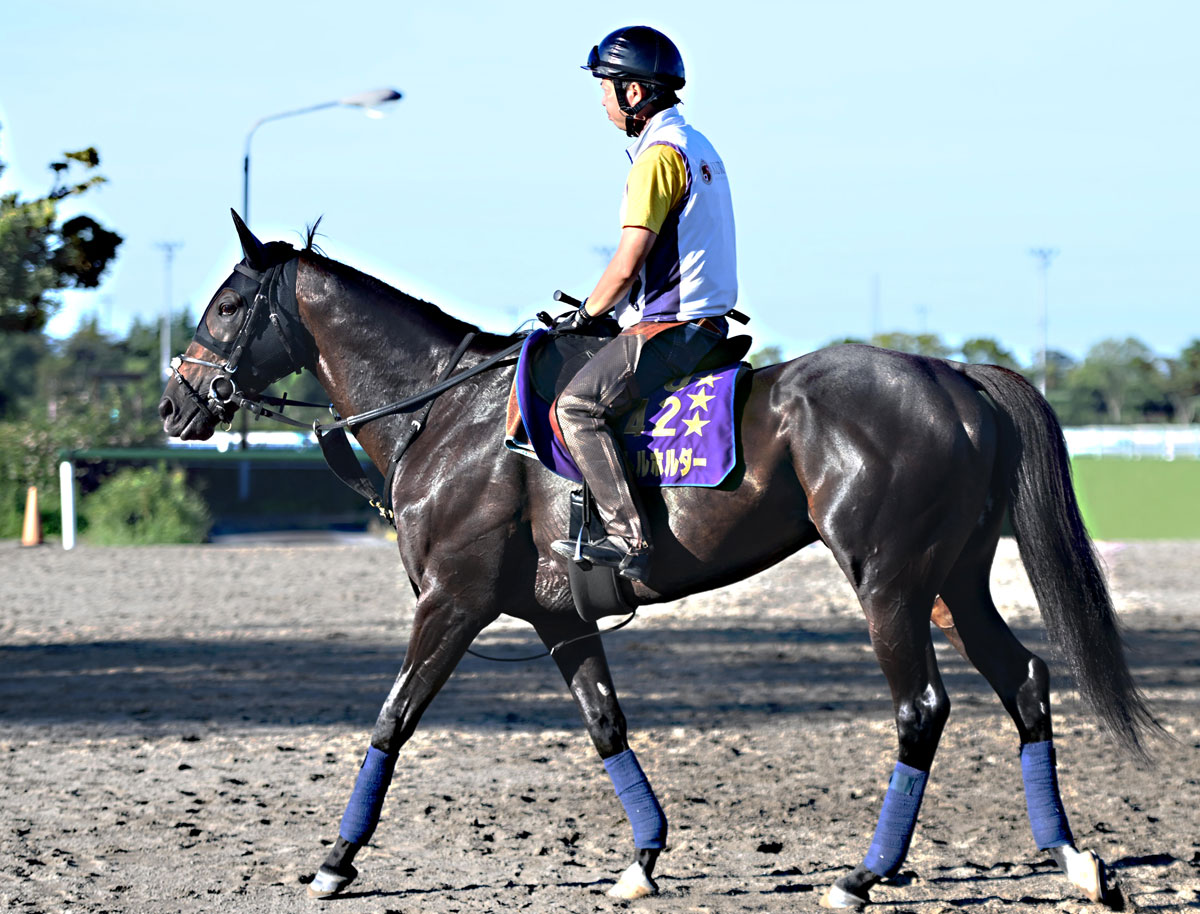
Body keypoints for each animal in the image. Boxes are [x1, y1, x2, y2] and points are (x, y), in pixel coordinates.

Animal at [158, 213, 1158, 908]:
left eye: (229, 304)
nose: (177, 404)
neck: (447, 415)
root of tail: (951, 375)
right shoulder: (558, 617)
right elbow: (606, 725)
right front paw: (642, 860)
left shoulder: (452, 601)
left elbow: (392, 720)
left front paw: (335, 861)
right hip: (952, 584)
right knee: (1024, 681)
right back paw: (1075, 862)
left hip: (889, 584)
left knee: (923, 709)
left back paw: (863, 877)